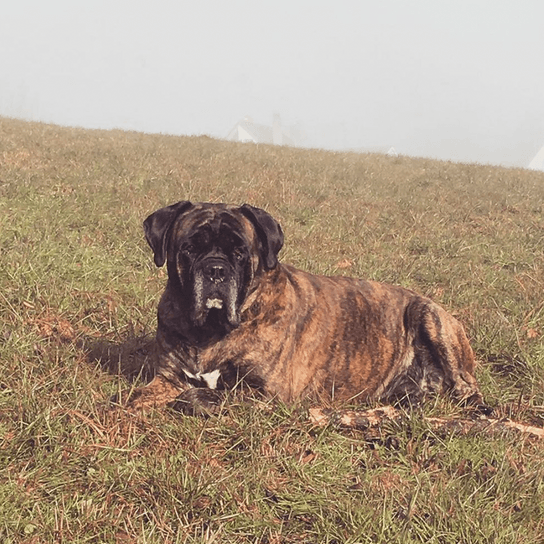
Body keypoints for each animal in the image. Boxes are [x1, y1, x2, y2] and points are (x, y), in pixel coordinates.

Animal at [124, 201, 484, 412]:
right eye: (189, 248)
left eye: (239, 251)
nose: (215, 270)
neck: (209, 331)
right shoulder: (166, 377)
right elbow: (135, 395)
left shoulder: (266, 393)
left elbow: (200, 395)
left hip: (429, 316)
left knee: (468, 389)